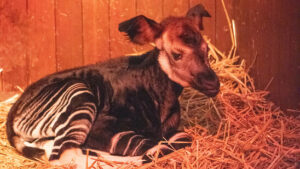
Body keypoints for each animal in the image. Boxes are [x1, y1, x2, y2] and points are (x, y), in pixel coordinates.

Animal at [5, 3, 219, 169]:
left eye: (206, 49)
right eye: (177, 54)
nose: (213, 83)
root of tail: (15, 111)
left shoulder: (170, 131)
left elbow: (182, 138)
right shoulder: (104, 128)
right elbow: (153, 146)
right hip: (80, 95)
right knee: (64, 155)